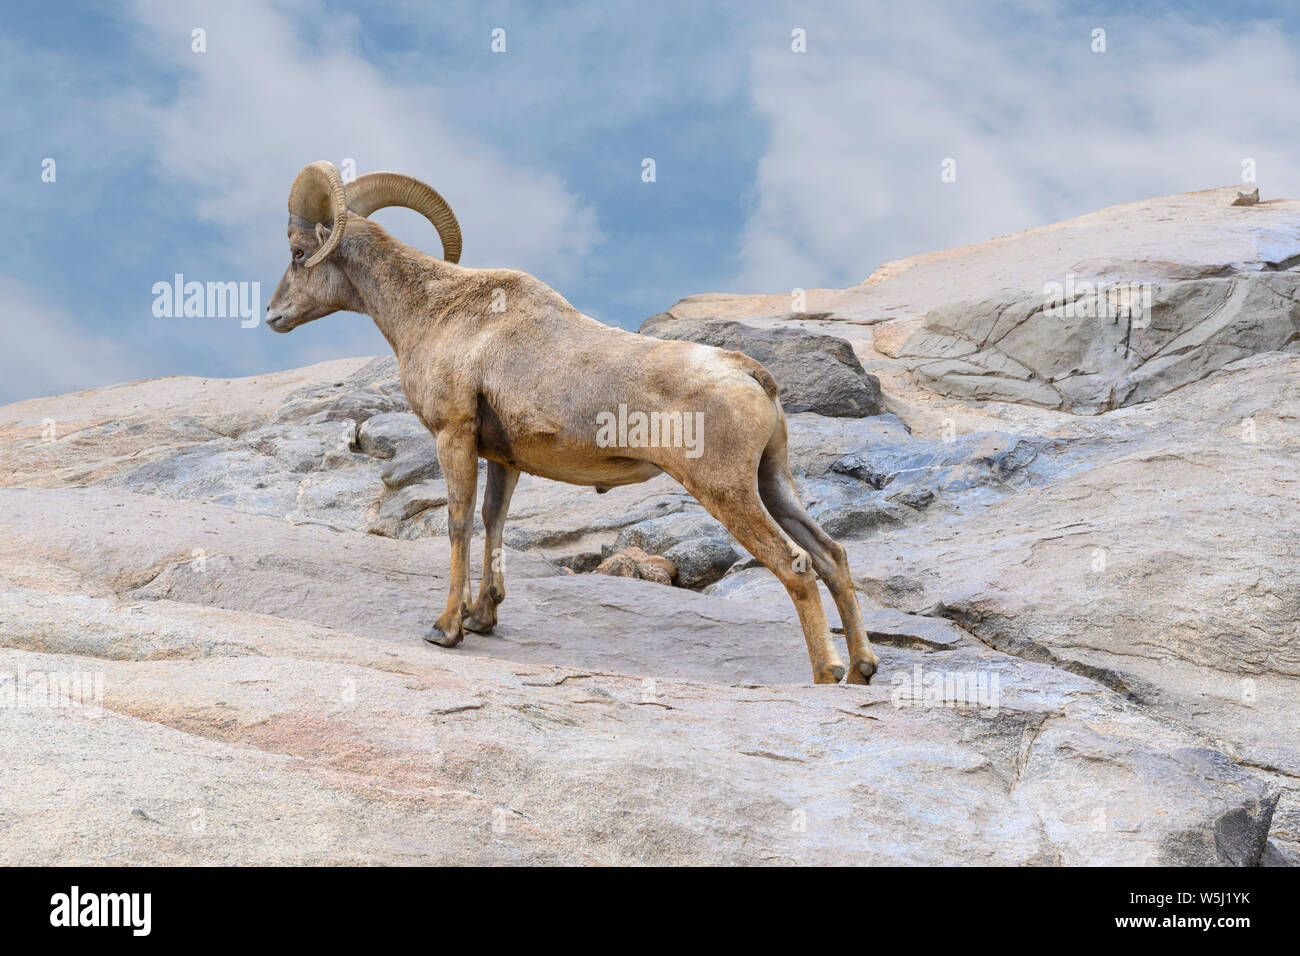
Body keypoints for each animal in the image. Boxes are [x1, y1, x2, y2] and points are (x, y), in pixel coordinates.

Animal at [269, 166, 889, 686]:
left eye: (299, 253)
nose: (273, 315)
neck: (433, 311)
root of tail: (750, 374)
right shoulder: (503, 459)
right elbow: (493, 521)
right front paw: (482, 618)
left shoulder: (454, 437)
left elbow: (459, 523)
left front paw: (445, 629)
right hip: (770, 480)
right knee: (831, 555)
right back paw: (862, 668)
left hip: (726, 490)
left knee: (797, 565)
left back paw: (827, 673)